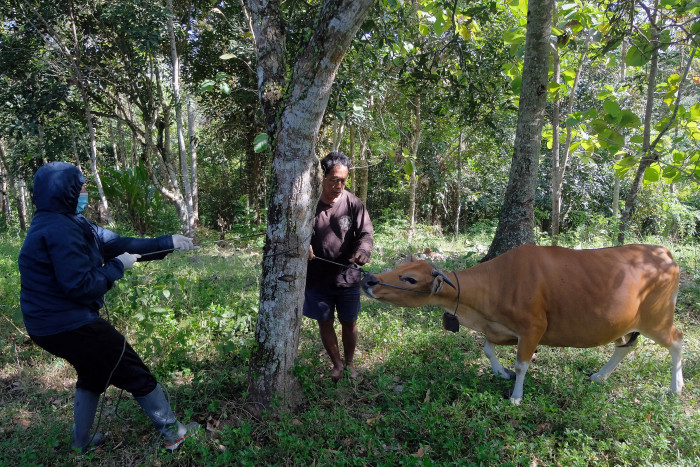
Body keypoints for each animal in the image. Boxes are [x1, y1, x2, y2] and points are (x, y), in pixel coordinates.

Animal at [360, 245, 684, 406]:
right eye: (399, 268)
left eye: (410, 279)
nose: (369, 280)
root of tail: (665, 252)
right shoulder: (499, 328)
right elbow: (487, 349)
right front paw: (499, 372)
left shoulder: (533, 329)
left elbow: (521, 365)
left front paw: (516, 396)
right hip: (623, 322)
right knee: (625, 346)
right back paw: (600, 376)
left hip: (657, 317)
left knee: (678, 340)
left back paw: (676, 387)